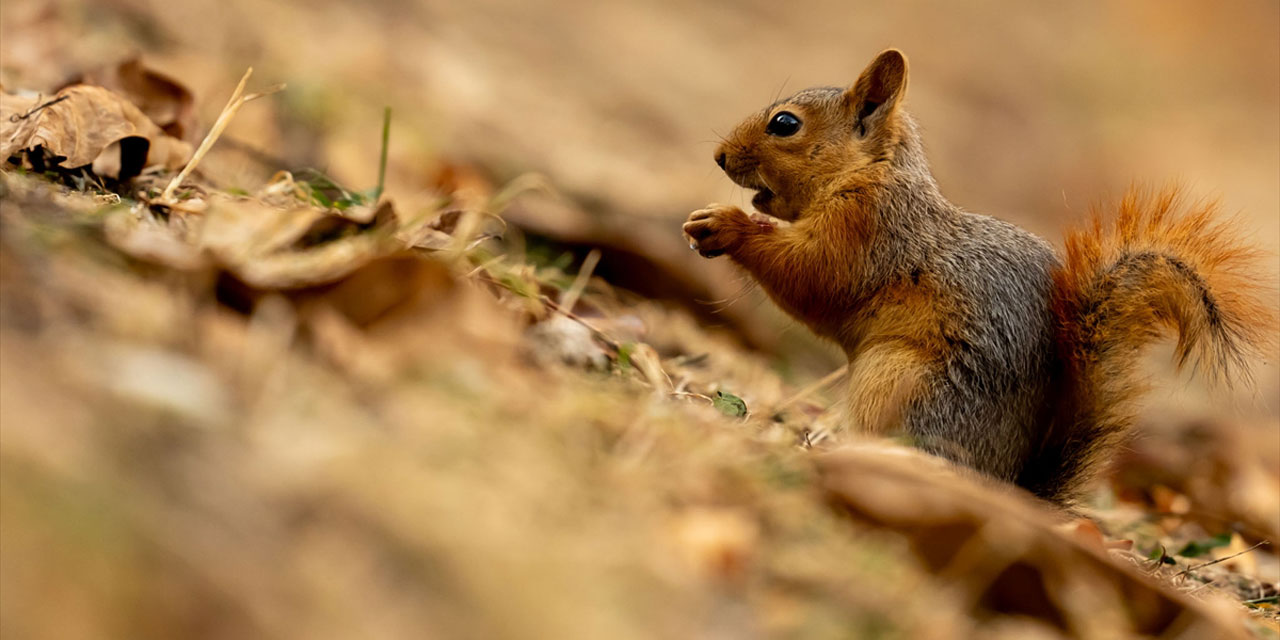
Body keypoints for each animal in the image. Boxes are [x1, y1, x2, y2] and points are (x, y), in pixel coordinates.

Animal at [686, 48, 1274, 504]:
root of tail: (1004, 482)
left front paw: (726, 225)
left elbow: (812, 277)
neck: (869, 174)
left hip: (900, 385)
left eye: (785, 123)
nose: (717, 156)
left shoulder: (867, 233)